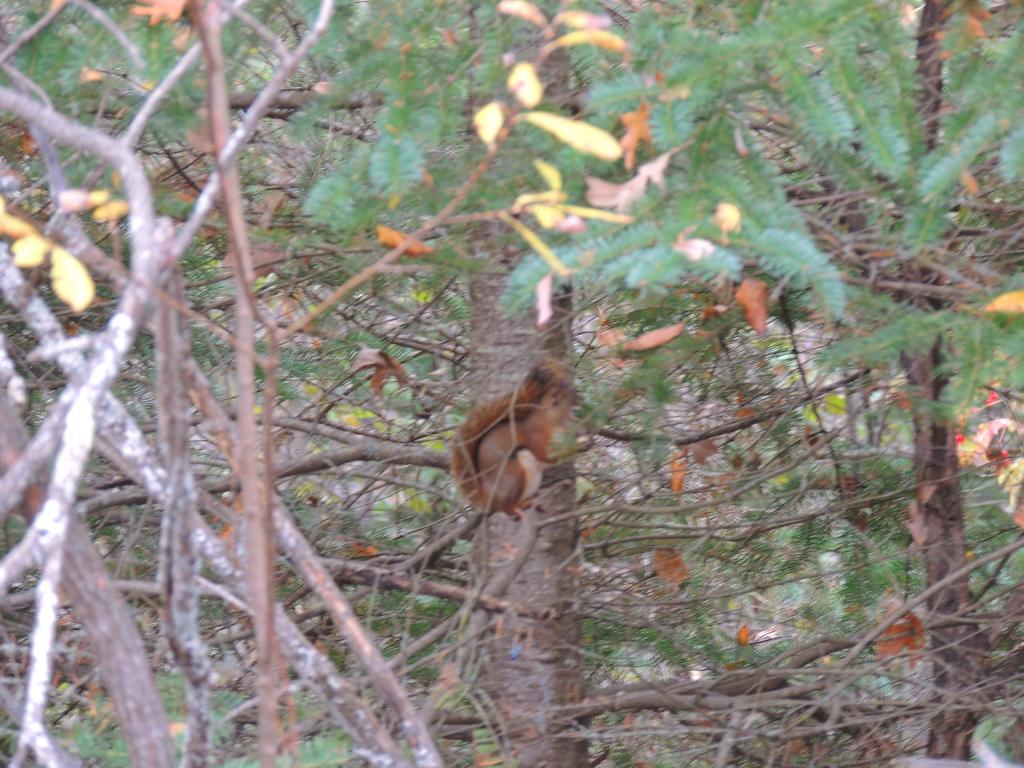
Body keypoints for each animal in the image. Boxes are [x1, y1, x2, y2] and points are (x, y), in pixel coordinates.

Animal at [450, 359, 576, 516]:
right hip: (514, 474)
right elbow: (545, 454)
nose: (580, 399)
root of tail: (489, 501)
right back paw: (519, 506)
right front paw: (578, 445)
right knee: (507, 508)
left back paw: (533, 503)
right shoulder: (536, 436)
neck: (548, 419)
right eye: (559, 397)